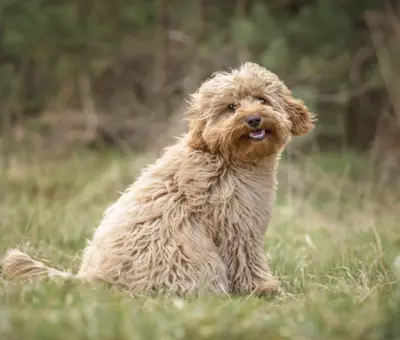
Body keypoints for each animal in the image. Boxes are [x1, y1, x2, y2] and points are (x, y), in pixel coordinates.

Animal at [2, 62, 316, 296]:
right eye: (231, 107)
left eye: (262, 100)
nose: (253, 119)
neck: (227, 158)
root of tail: (94, 279)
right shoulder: (237, 227)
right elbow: (247, 261)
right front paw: (265, 289)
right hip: (197, 260)